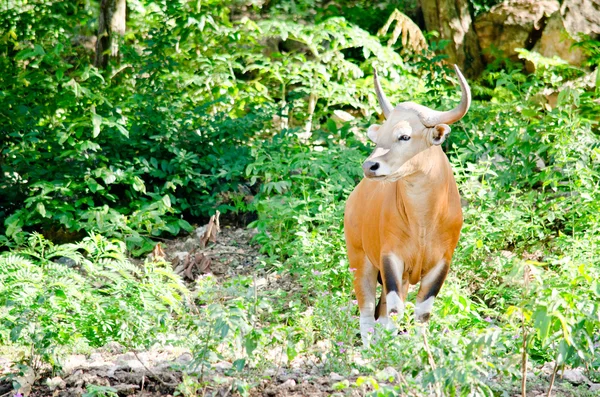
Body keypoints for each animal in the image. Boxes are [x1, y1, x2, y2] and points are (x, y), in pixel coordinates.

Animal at [344, 65, 472, 344]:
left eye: (404, 136)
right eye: (378, 137)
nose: (370, 166)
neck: (423, 221)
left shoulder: (441, 262)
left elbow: (422, 312)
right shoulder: (391, 258)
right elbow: (394, 310)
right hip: (360, 260)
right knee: (367, 311)